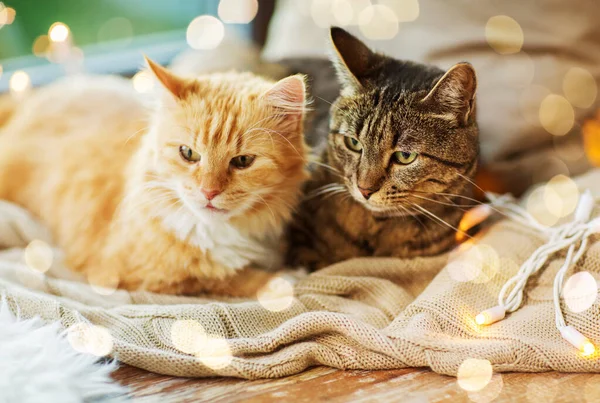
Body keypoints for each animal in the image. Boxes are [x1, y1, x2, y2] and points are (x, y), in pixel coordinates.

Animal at [0, 58, 310, 296]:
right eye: (188, 154)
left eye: (243, 161)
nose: (208, 192)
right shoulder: (127, 274)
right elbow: (222, 278)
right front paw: (283, 279)